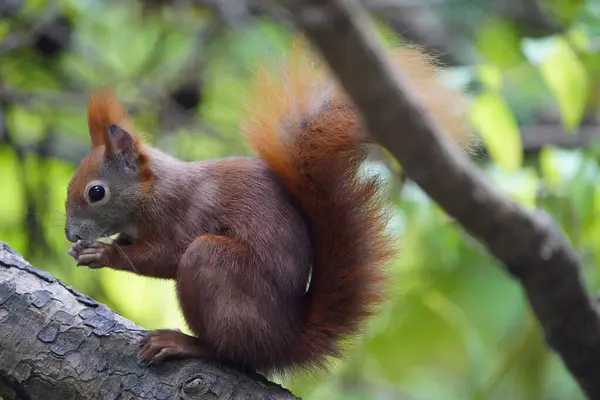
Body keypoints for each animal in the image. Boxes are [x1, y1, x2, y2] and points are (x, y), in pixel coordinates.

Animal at [62, 41, 474, 376]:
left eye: (96, 192)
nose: (69, 233)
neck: (150, 191)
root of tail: (285, 339)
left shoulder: (181, 213)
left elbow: (162, 257)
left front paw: (102, 253)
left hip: (213, 265)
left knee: (232, 352)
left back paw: (185, 344)